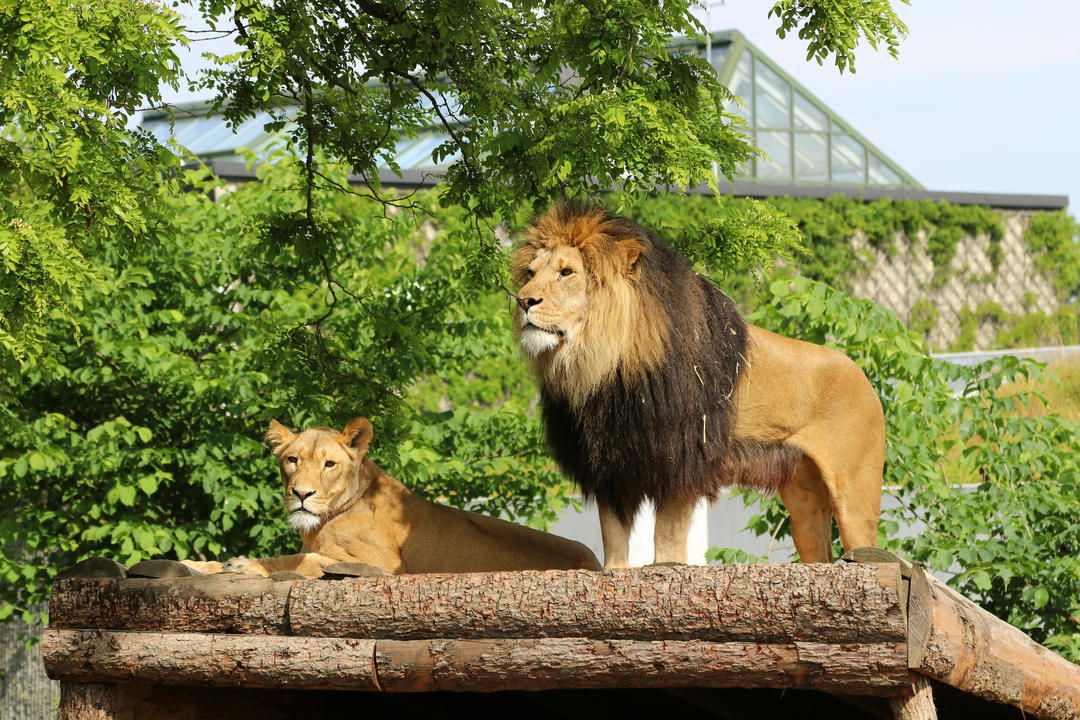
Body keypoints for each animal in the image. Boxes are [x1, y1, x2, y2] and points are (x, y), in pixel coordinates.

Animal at [224, 418, 604, 578]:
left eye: (329, 464)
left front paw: (244, 564)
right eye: (292, 460)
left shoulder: (385, 564)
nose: (301, 494)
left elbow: (302, 559)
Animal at [514, 205, 885, 569]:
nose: (523, 301)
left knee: (867, 548)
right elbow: (614, 542)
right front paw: (615, 573)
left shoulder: (682, 459)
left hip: (856, 494)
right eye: (531, 273)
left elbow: (667, 540)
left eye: (566, 272)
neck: (602, 365)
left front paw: (665, 567)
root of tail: (861, 374)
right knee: (821, 557)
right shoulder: (610, 466)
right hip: (804, 500)